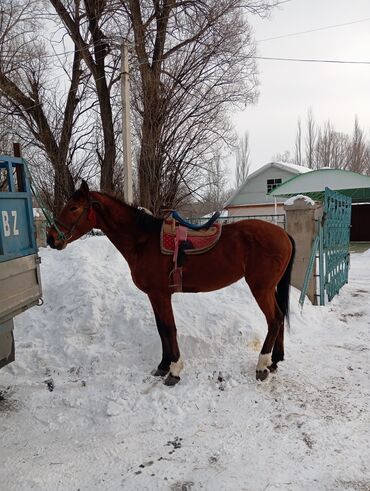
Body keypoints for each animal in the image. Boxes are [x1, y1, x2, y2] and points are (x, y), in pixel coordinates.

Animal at [47, 181, 294, 384]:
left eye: (73, 208)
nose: (51, 239)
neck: (142, 241)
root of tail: (283, 234)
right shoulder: (154, 295)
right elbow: (161, 328)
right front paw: (163, 365)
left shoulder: (160, 294)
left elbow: (169, 328)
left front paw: (174, 370)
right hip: (269, 288)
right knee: (280, 316)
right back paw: (274, 361)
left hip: (260, 288)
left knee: (274, 319)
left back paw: (261, 365)